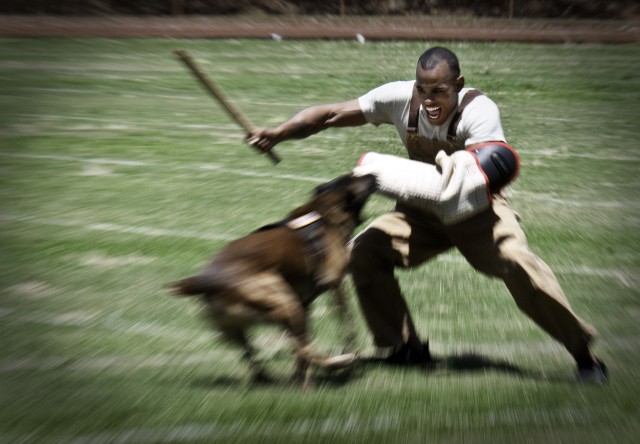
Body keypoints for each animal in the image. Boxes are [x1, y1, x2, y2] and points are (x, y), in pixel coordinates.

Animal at [171, 173, 380, 386]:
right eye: (357, 177)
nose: (373, 175)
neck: (324, 211)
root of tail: (208, 281)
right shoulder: (334, 283)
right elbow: (348, 324)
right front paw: (347, 352)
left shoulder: (305, 303)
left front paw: (300, 377)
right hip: (285, 300)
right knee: (304, 349)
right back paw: (338, 363)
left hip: (241, 327)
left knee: (262, 352)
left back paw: (273, 378)